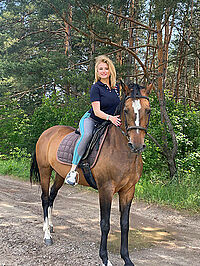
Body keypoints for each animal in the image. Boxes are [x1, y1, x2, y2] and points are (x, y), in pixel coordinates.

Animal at [30, 81, 152, 266]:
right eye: (125, 110)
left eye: (148, 110)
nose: (136, 145)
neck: (121, 150)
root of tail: (47, 132)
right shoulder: (105, 189)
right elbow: (105, 224)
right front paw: (105, 259)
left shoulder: (128, 190)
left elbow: (125, 224)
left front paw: (127, 259)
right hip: (45, 170)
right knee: (45, 199)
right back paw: (47, 235)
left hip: (59, 175)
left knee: (51, 197)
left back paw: (50, 226)